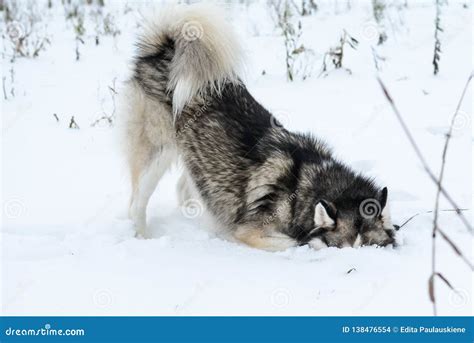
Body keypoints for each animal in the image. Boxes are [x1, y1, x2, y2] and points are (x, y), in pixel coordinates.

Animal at [120, 3, 394, 253]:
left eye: (370, 248)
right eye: (340, 249)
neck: (303, 187)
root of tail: (163, 49)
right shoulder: (251, 231)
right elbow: (294, 242)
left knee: (185, 188)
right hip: (156, 155)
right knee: (136, 203)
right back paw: (142, 236)